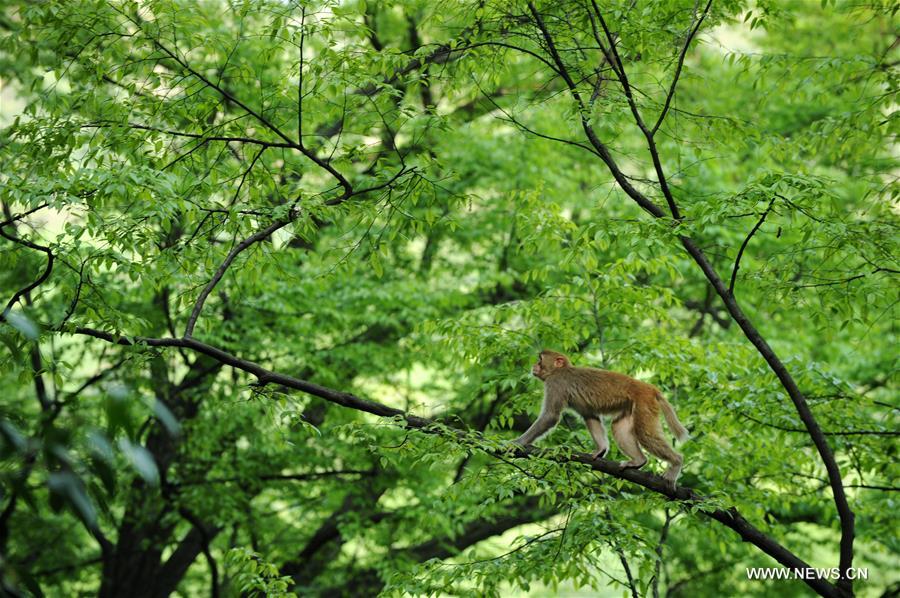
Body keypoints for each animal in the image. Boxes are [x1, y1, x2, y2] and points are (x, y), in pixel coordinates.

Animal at [512, 352, 688, 488]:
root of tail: (649, 388)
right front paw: (601, 449)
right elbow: (590, 415)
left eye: (540, 359)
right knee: (618, 427)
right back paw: (638, 461)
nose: (534, 366)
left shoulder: (555, 383)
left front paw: (517, 443)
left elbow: (550, 416)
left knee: (645, 434)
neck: (560, 370)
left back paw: (676, 463)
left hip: (644, 403)